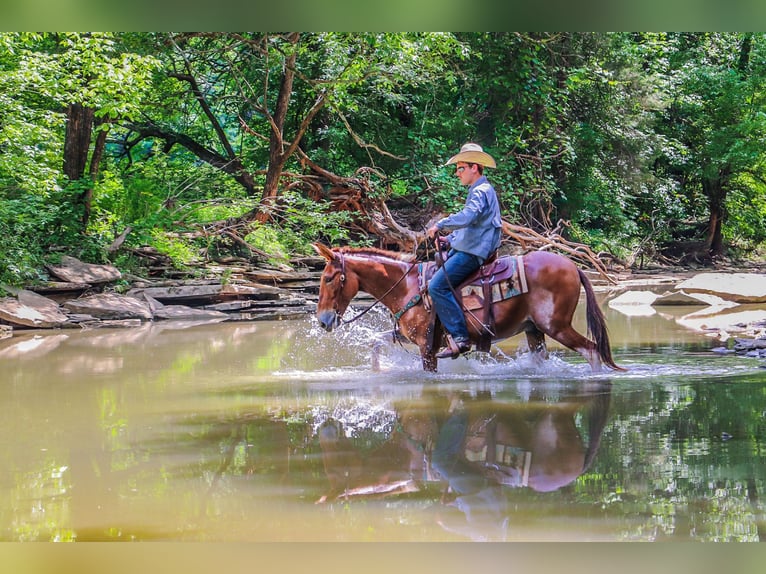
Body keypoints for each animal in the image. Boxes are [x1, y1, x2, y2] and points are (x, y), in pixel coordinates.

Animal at [312, 243, 624, 374]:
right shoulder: (406, 337)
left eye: (328, 278)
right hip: (534, 330)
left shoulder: (427, 346)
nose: (324, 321)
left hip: (557, 326)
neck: (407, 287)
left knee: (592, 350)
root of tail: (572, 266)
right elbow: (376, 343)